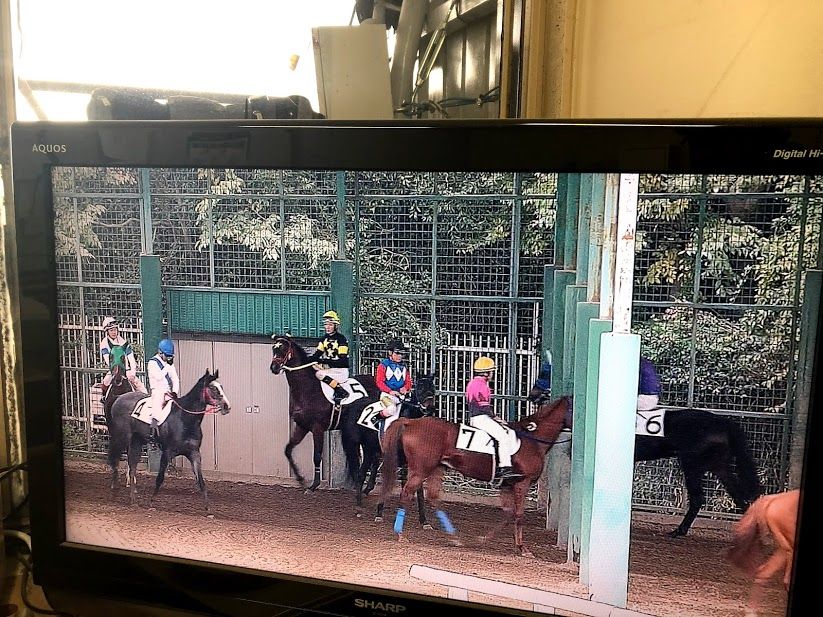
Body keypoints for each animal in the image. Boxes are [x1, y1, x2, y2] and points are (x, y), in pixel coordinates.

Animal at [108, 368, 232, 508]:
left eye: (221, 387)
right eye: (213, 388)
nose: (227, 406)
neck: (184, 418)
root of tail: (119, 398)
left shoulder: (194, 453)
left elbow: (200, 480)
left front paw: (207, 507)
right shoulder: (167, 452)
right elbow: (160, 478)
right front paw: (151, 502)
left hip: (136, 440)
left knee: (132, 466)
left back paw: (133, 498)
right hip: (121, 437)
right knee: (115, 458)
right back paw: (114, 488)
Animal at [274, 334, 384, 488]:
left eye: (283, 349)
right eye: (274, 349)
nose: (273, 367)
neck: (308, 390)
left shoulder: (317, 428)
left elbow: (317, 456)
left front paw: (314, 485)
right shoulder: (302, 426)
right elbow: (288, 449)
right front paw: (300, 479)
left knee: (375, 453)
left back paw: (367, 485)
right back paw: (365, 485)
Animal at [340, 372, 438, 524]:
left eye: (433, 388)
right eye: (420, 387)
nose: (429, 408)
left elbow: (416, 489)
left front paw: (424, 521)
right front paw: (379, 514)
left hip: (370, 450)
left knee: (363, 472)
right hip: (353, 445)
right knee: (358, 474)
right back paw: (358, 508)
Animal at [380, 394, 572, 560]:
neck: (532, 439)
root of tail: (412, 422)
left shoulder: (507, 485)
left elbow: (509, 513)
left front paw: (485, 538)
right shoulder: (521, 483)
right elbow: (518, 515)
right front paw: (523, 548)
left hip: (436, 469)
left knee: (433, 498)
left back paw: (454, 537)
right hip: (420, 470)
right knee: (406, 495)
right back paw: (401, 534)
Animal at [532, 376, 764, 536]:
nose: (532, 394)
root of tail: (723, 422)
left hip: (692, 464)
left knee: (699, 497)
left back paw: (679, 531)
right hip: (718, 465)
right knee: (739, 496)